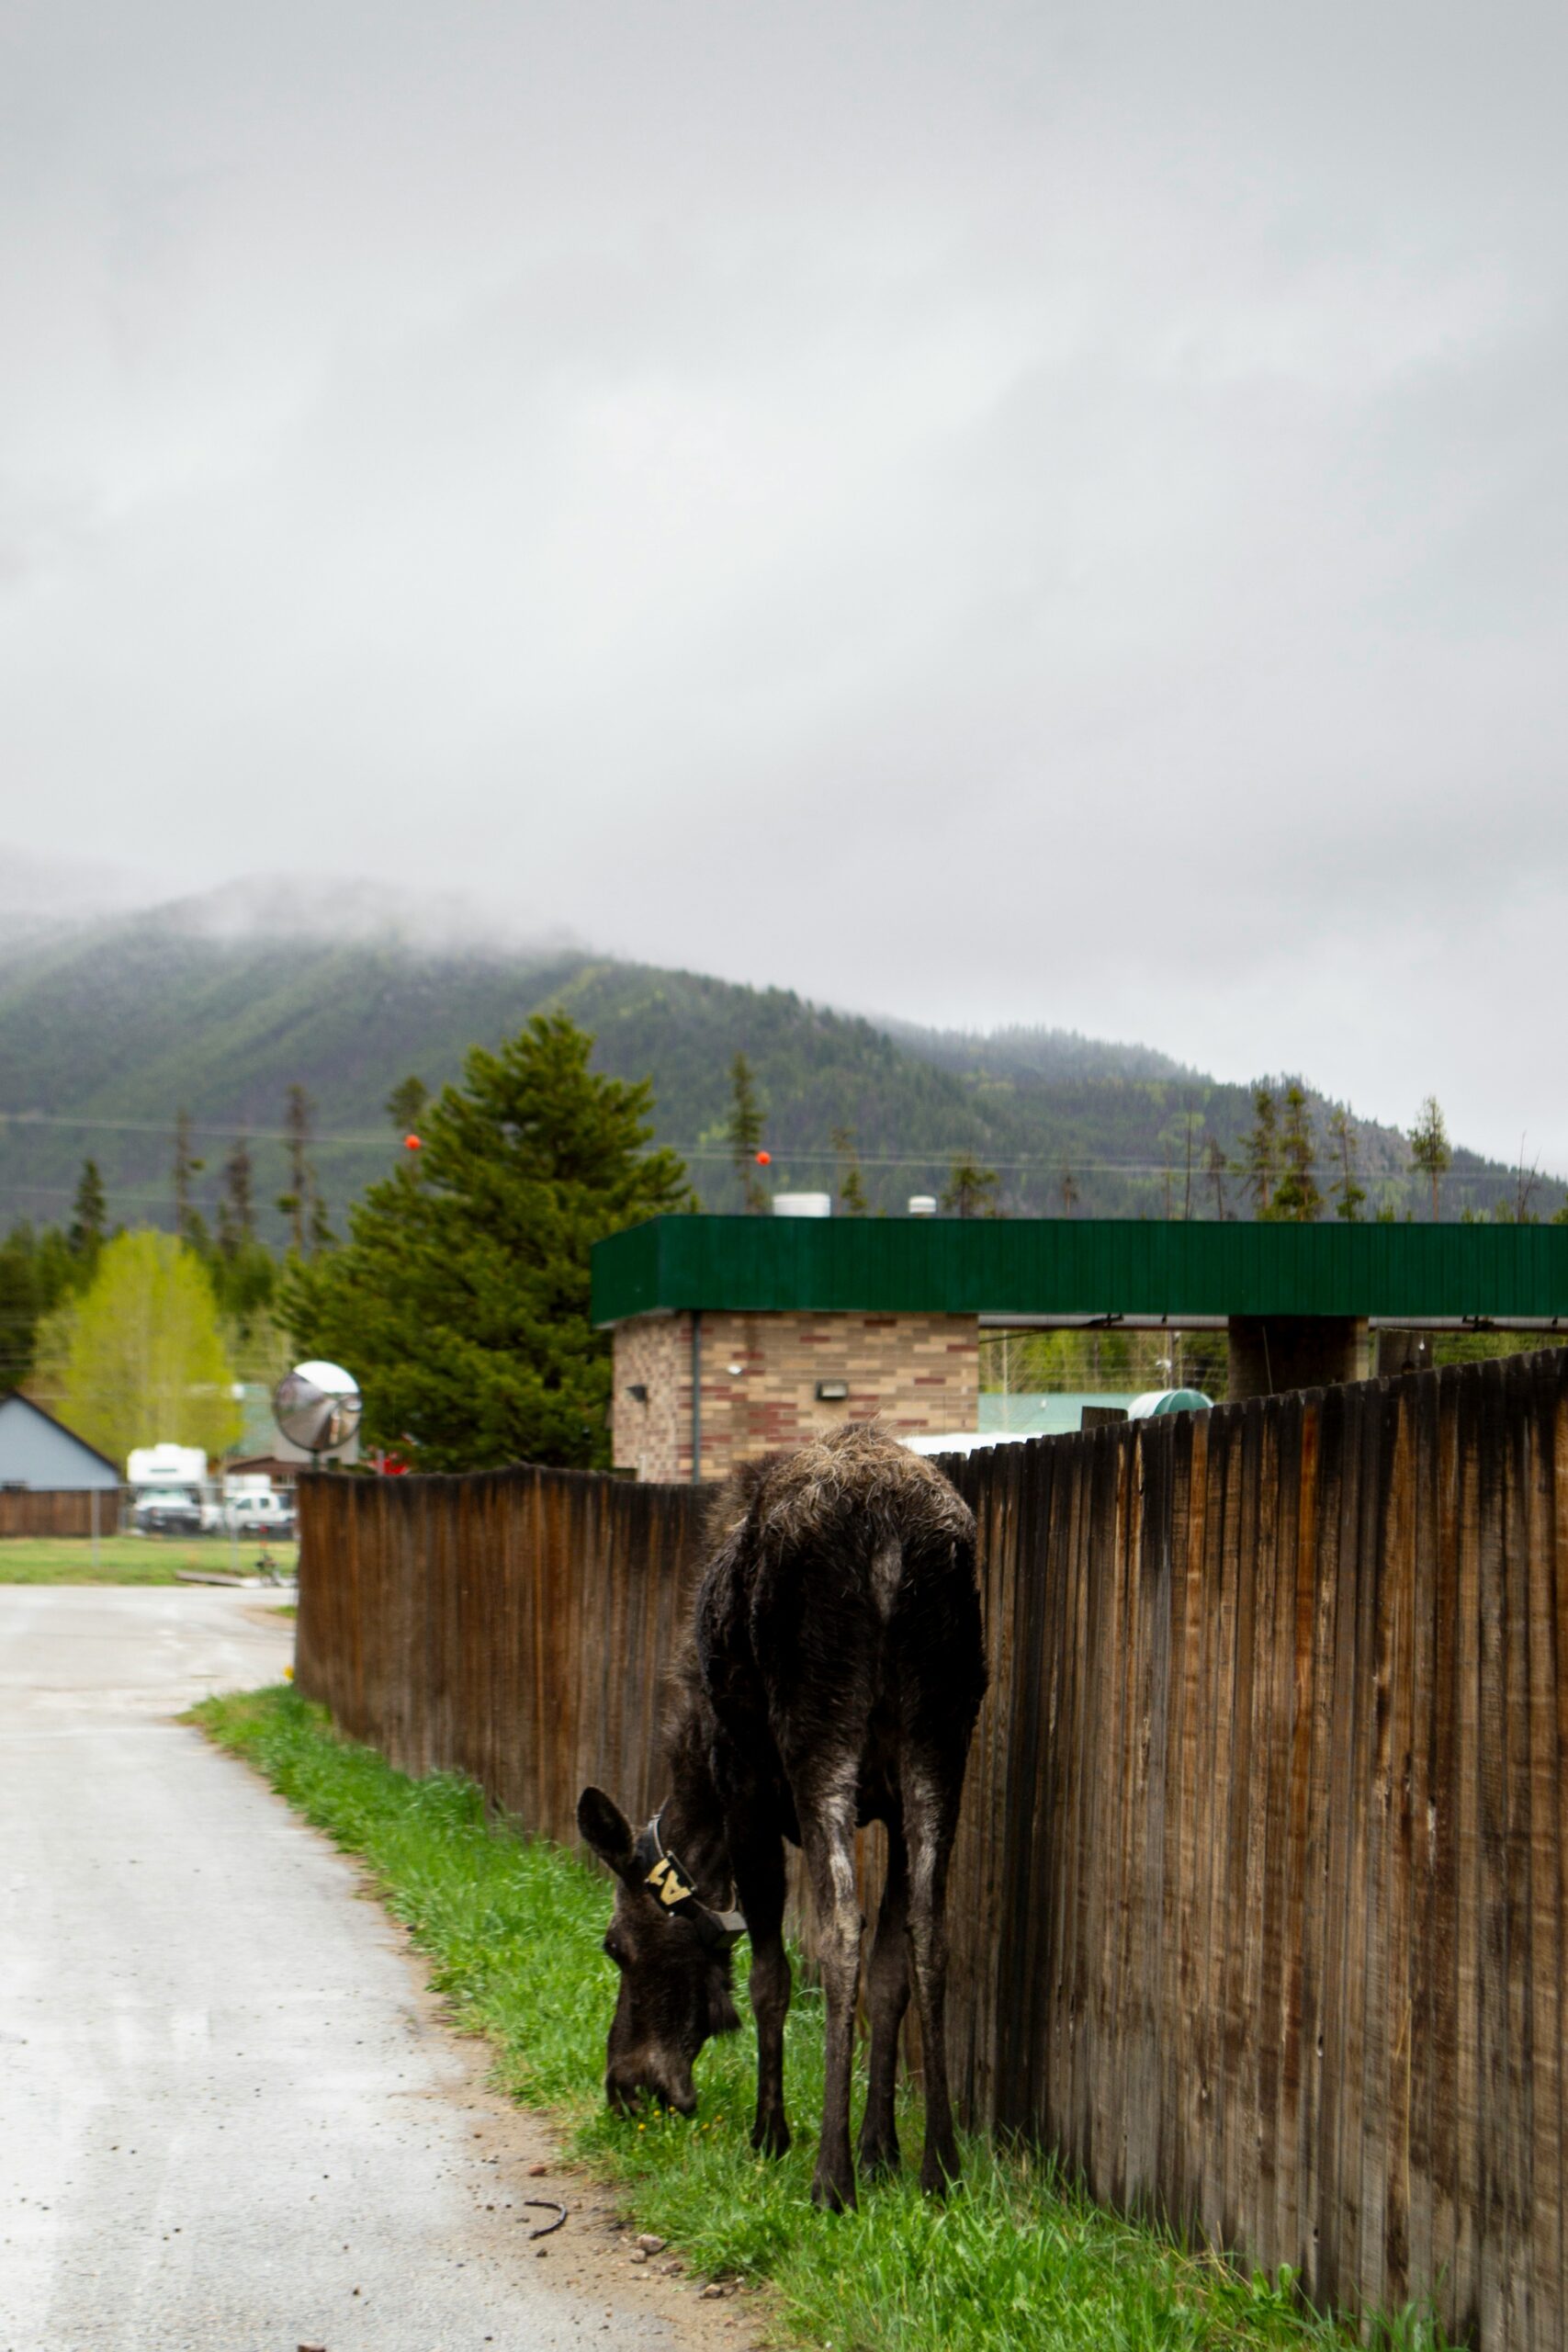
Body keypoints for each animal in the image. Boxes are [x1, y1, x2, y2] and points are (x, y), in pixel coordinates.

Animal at [582, 1420, 987, 2211]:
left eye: (615, 1946)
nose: (627, 2088)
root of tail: (891, 1537)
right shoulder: (894, 1803)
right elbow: (890, 1973)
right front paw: (882, 2149)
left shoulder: (742, 1786)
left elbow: (768, 1972)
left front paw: (771, 2134)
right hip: (940, 1740)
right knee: (930, 1933)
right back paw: (941, 2166)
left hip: (815, 1736)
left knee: (836, 1931)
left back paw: (830, 2177)